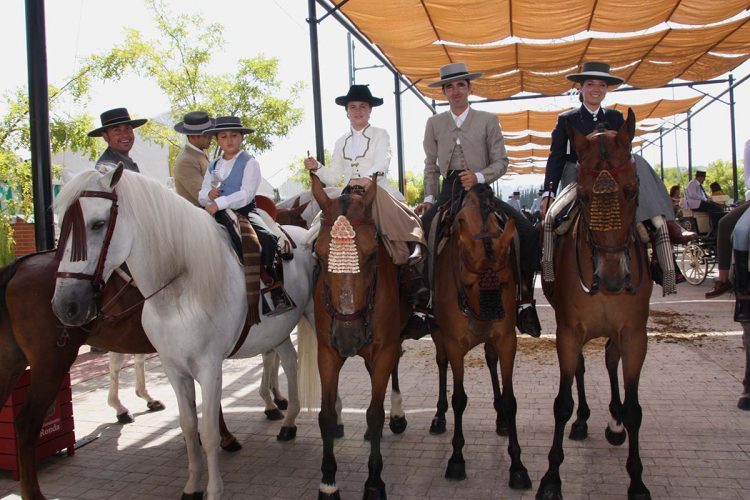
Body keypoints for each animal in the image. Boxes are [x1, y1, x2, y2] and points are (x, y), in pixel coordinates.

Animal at [0, 252, 244, 500]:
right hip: (51, 362)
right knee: (27, 422)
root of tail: (20, 265)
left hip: (11, 360)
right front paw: (223, 437)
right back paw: (33, 493)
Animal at [52, 166, 318, 498]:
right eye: (63, 225)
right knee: (291, 362)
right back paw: (289, 422)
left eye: (98, 224)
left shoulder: (209, 368)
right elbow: (189, 426)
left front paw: (214, 489)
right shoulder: (174, 368)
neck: (180, 287)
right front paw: (192, 485)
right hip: (278, 332)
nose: (66, 305)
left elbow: (209, 430)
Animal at [310, 174, 412, 498]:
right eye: (319, 254)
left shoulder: (384, 349)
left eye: (371, 255)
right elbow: (326, 415)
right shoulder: (327, 353)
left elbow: (375, 414)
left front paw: (374, 481)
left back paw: (397, 414)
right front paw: (328, 482)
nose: (348, 338)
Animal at [428, 184, 536, 488]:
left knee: (490, 360)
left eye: (505, 282)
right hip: (439, 335)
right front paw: (456, 459)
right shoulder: (454, 344)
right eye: (467, 282)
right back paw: (439, 417)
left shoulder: (506, 340)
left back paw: (500, 419)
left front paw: (517, 465)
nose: (486, 318)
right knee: (442, 364)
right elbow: (459, 399)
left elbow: (511, 400)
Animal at [536, 109, 656, 500]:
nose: (614, 277)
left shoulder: (634, 335)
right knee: (583, 369)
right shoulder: (568, 333)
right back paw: (584, 419)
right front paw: (551, 478)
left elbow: (634, 408)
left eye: (632, 191)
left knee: (609, 360)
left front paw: (637, 481)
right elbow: (562, 403)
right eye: (585, 197)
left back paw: (614, 423)